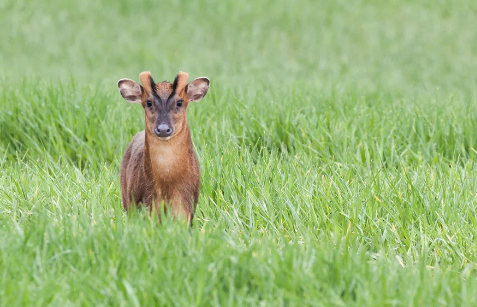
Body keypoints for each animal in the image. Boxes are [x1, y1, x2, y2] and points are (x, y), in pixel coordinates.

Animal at [116, 71, 209, 225]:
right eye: (149, 102)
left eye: (179, 102)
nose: (163, 129)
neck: (167, 185)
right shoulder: (147, 202)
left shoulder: (186, 204)